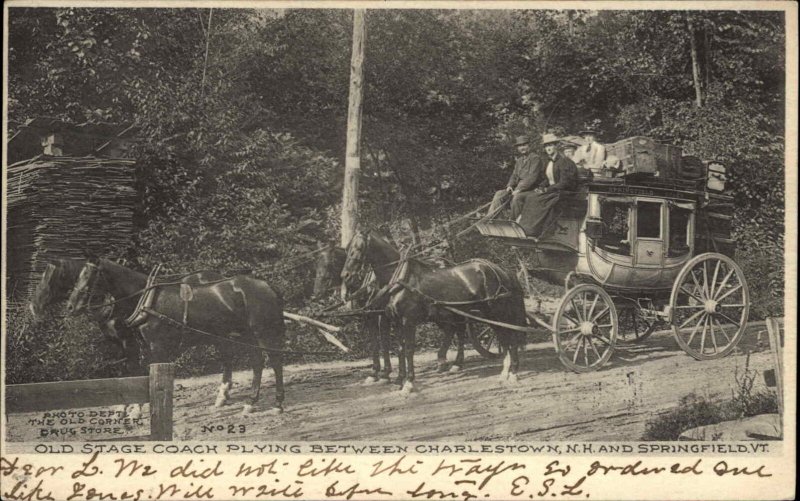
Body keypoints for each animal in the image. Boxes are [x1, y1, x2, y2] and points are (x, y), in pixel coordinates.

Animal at [66, 258, 284, 414]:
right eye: (78, 276)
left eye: (89, 277)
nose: (70, 306)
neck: (146, 299)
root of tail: (267, 285)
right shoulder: (137, 346)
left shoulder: (156, 346)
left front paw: (139, 409)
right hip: (246, 335)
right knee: (257, 362)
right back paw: (250, 402)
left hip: (264, 332)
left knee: (275, 361)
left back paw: (277, 403)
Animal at [340, 229, 528, 392]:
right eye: (347, 249)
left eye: (358, 248)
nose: (345, 276)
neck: (399, 278)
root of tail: (499, 270)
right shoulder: (396, 320)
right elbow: (400, 349)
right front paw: (399, 380)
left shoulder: (407, 321)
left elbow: (408, 350)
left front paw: (408, 383)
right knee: (501, 338)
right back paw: (503, 372)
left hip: (496, 312)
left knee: (509, 338)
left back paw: (512, 373)